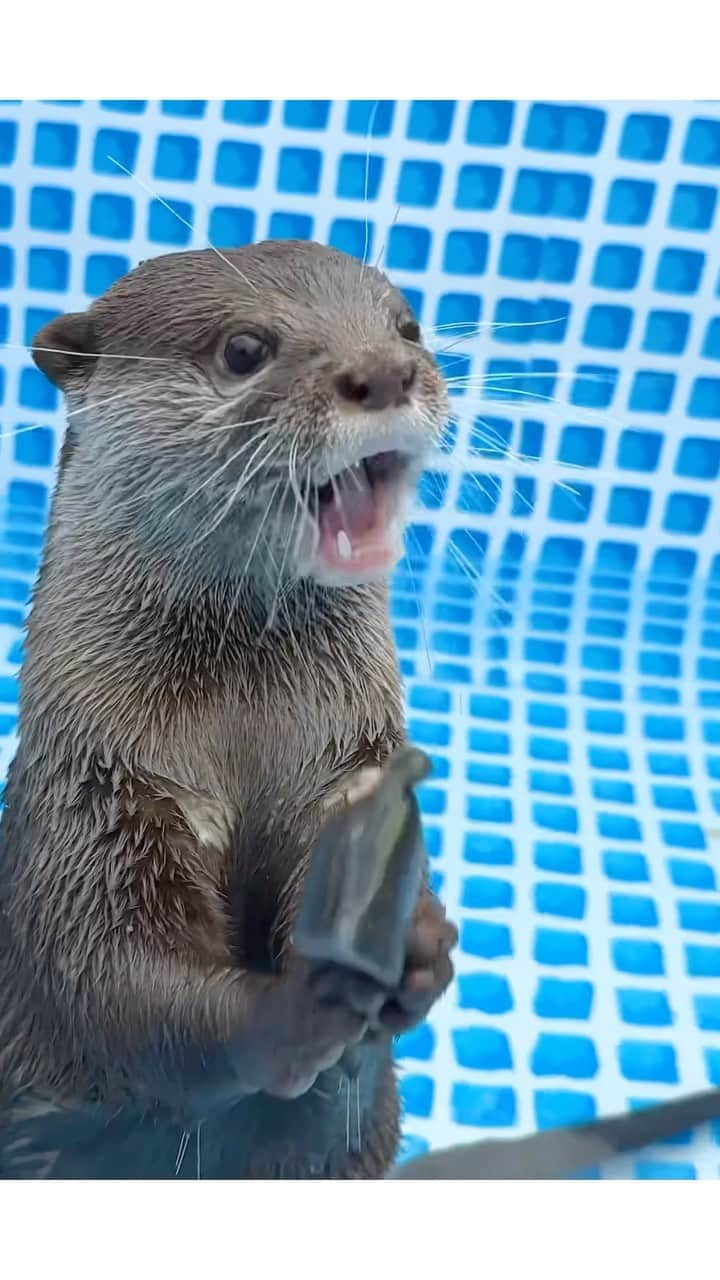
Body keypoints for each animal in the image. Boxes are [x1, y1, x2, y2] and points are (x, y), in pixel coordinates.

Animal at [0, 240, 453, 1177]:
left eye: (407, 326)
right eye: (244, 350)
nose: (386, 371)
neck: (241, 731)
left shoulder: (343, 763)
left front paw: (417, 942)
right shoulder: (90, 814)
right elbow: (119, 983)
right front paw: (296, 1012)